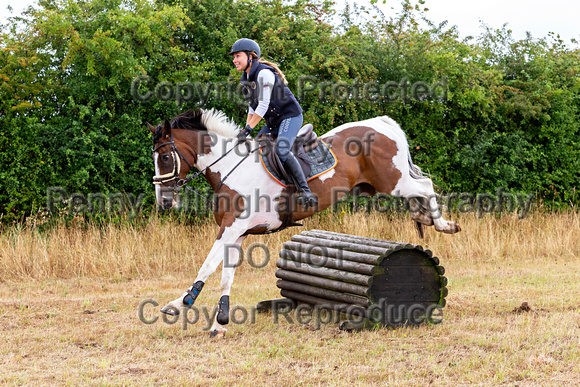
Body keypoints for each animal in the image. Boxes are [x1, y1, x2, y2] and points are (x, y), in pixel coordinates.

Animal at [150, 108, 462, 336]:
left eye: (164, 157)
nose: (164, 202)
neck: (231, 168)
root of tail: (382, 124)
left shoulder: (232, 227)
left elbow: (207, 264)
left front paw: (179, 304)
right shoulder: (237, 232)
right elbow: (226, 273)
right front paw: (220, 322)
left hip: (393, 182)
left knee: (425, 185)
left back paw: (443, 224)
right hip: (381, 184)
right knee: (420, 188)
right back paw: (422, 216)